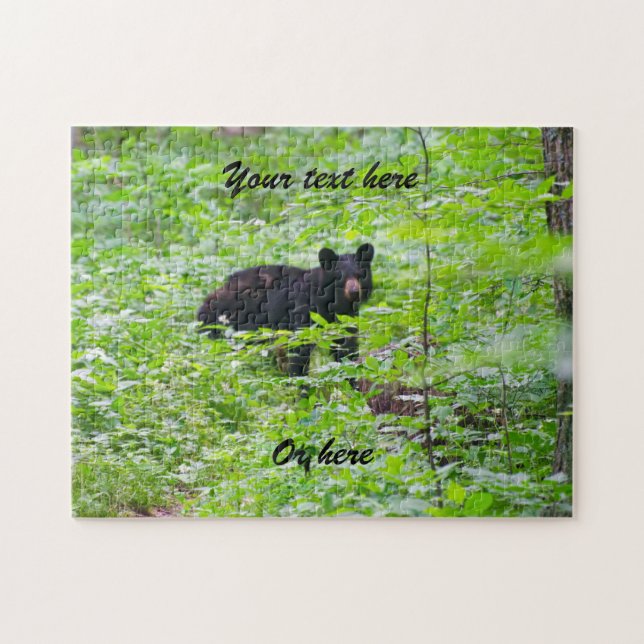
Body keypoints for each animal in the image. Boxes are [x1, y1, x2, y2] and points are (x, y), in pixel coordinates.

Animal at [197, 243, 375, 376]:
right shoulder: (304, 312)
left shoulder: (345, 318)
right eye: (340, 276)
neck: (331, 303)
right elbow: (299, 351)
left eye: (360, 274)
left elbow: (346, 348)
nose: (354, 292)